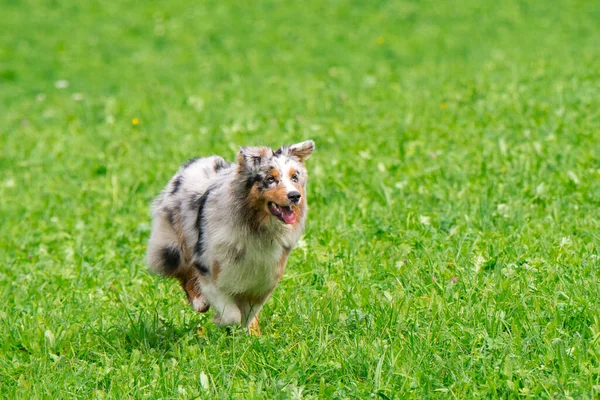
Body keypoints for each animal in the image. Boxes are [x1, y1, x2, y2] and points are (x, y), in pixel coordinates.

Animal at [146, 141, 314, 334]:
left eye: (294, 177)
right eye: (270, 179)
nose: (295, 196)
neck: (255, 228)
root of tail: (197, 161)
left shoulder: (263, 280)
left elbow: (249, 315)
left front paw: (250, 334)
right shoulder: (211, 274)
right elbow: (232, 315)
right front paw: (222, 322)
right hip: (173, 246)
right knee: (182, 271)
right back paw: (199, 302)